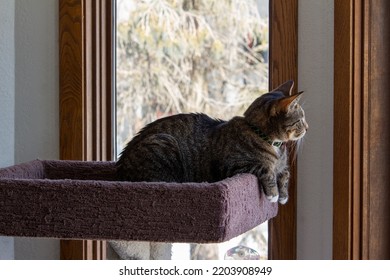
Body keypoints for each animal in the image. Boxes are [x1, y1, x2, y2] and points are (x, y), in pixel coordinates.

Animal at [116, 79, 308, 203]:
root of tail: (120, 168)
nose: (307, 127)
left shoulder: (282, 166)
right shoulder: (232, 166)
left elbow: (285, 173)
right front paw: (273, 193)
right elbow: (265, 169)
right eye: (300, 120)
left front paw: (283, 194)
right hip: (163, 143)